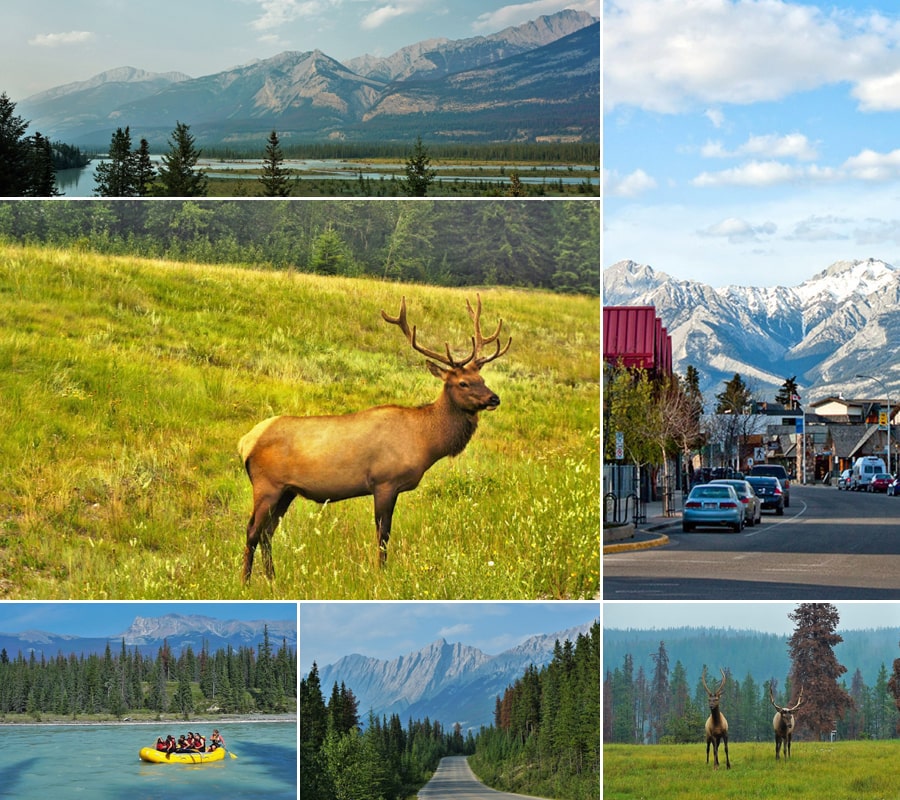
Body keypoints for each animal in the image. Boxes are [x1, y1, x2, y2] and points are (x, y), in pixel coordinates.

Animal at [236, 294, 510, 580]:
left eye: (482, 378)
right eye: (462, 383)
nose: (494, 398)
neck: (425, 441)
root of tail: (245, 442)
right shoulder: (384, 482)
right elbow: (383, 535)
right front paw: (382, 572)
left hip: (287, 491)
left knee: (267, 532)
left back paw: (272, 578)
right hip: (267, 485)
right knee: (252, 530)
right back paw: (246, 581)